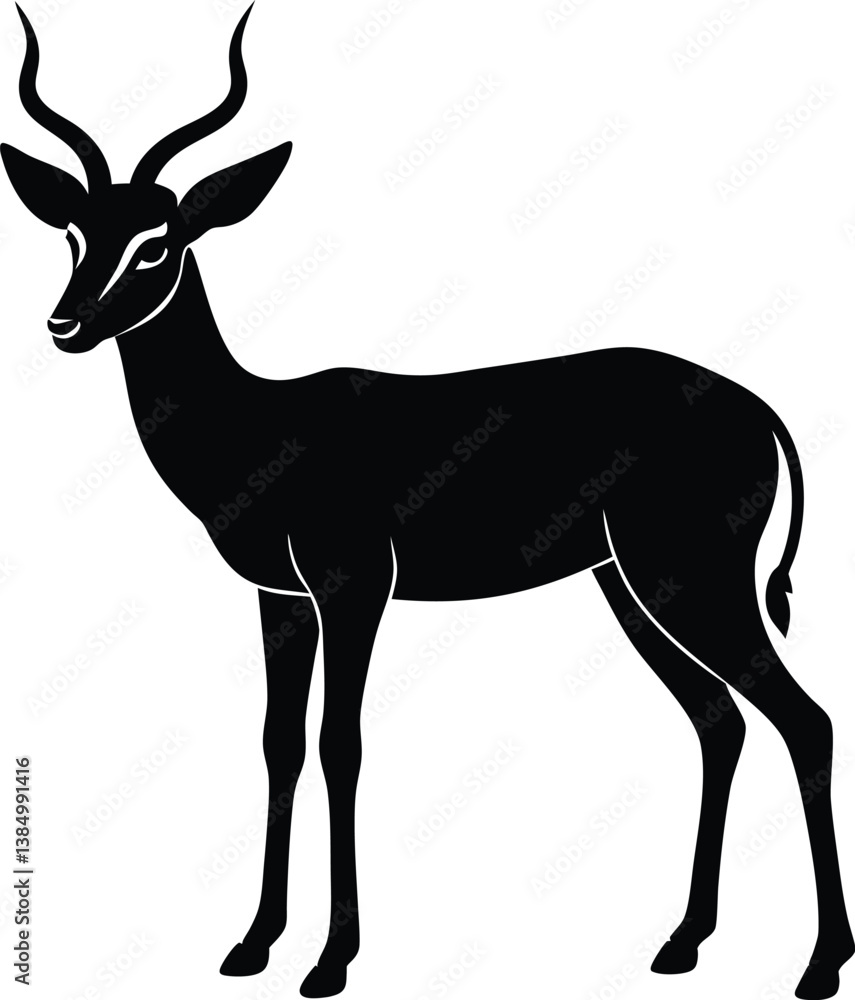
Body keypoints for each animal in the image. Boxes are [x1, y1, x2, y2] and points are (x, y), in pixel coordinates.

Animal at [2, 5, 852, 999]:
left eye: (156, 243)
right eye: (73, 235)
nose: (64, 324)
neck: (257, 422)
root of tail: (756, 407)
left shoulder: (352, 585)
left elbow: (341, 744)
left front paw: (329, 962)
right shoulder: (279, 598)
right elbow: (279, 743)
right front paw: (251, 946)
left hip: (689, 578)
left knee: (805, 720)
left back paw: (818, 966)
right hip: (631, 586)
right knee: (719, 721)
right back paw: (680, 944)